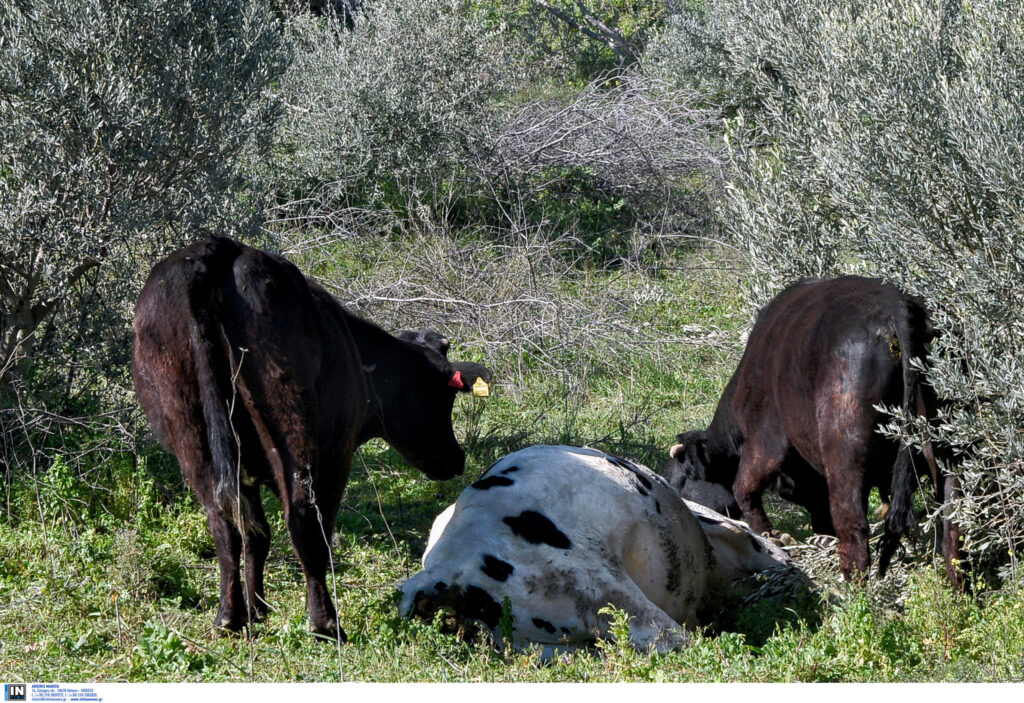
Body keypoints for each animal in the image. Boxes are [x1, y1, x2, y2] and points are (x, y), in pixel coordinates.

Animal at [132, 235, 491, 640]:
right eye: (444, 397)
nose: (457, 458)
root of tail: (216, 250)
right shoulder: (337, 452)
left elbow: (255, 532)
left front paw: (257, 609)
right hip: (292, 422)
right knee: (304, 519)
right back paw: (326, 623)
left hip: (190, 429)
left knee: (224, 523)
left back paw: (229, 617)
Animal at [668, 276, 964, 585]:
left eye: (685, 478)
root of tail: (896, 302)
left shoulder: (765, 442)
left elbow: (744, 487)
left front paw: (772, 535)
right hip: (952, 452)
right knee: (953, 524)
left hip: (845, 452)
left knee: (853, 524)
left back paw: (853, 587)